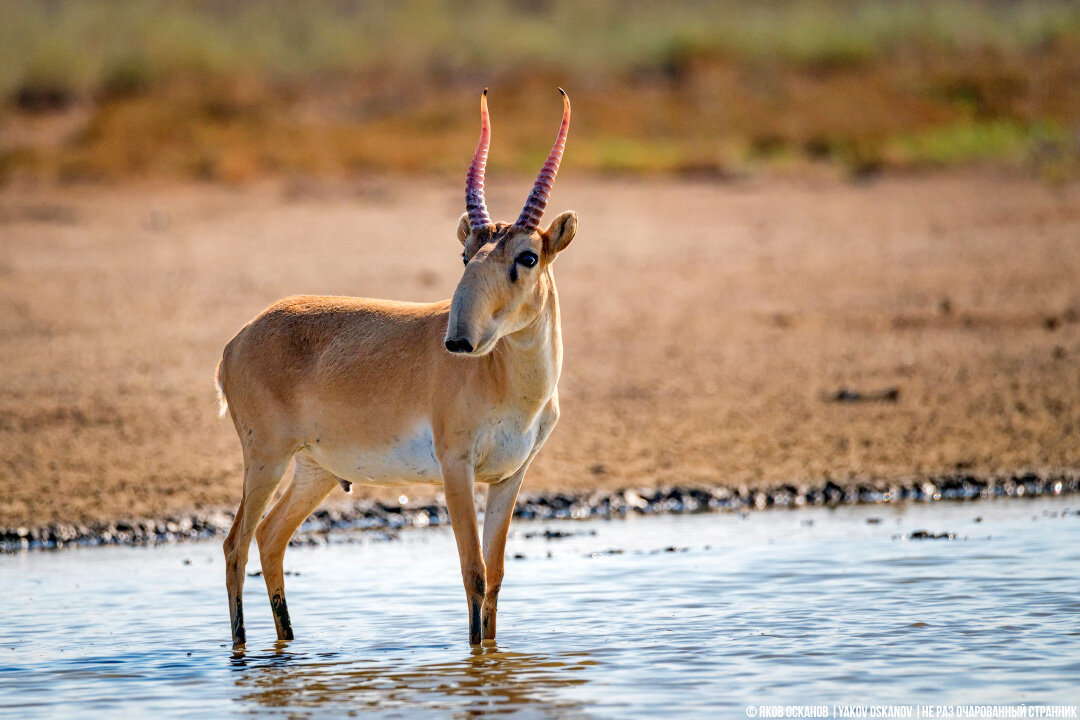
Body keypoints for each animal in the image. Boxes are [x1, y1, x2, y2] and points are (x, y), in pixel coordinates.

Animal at [213, 88, 578, 647]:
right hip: (266, 460)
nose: (458, 340)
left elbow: (495, 576)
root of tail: (237, 341)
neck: (509, 383)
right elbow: (472, 572)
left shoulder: (509, 476)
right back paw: (242, 650)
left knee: (271, 538)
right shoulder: (456, 468)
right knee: (236, 542)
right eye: (466, 252)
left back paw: (288, 642)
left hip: (315, 470)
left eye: (528, 256)